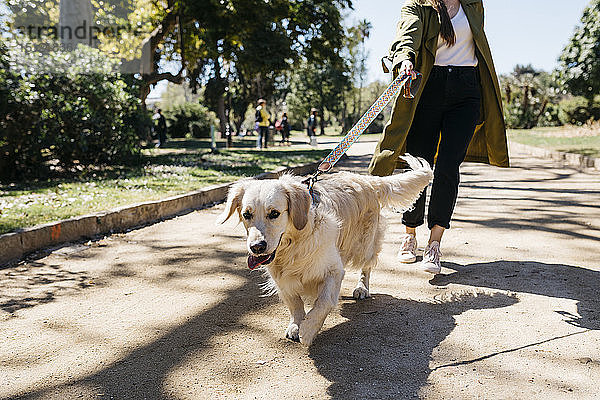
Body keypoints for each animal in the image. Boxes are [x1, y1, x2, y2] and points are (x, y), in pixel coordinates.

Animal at [218, 155, 434, 346]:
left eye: (274, 213)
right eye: (246, 214)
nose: (257, 247)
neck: (294, 245)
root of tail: (367, 180)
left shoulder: (333, 270)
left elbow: (323, 302)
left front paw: (308, 330)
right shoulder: (281, 278)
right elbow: (295, 303)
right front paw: (296, 324)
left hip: (364, 245)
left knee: (367, 267)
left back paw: (362, 288)